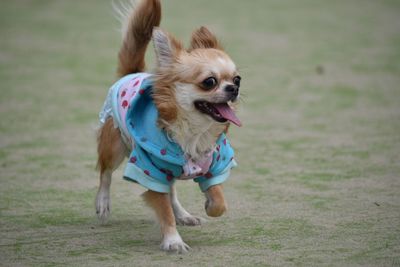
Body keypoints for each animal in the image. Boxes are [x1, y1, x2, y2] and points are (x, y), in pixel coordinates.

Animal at [95, 0, 242, 254]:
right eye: (209, 82)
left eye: (237, 79)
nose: (234, 89)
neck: (194, 132)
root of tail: (132, 72)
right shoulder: (148, 169)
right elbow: (163, 210)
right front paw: (173, 240)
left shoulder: (215, 165)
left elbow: (219, 201)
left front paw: (209, 204)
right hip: (115, 146)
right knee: (105, 173)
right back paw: (103, 203)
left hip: (168, 169)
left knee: (171, 191)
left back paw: (183, 215)